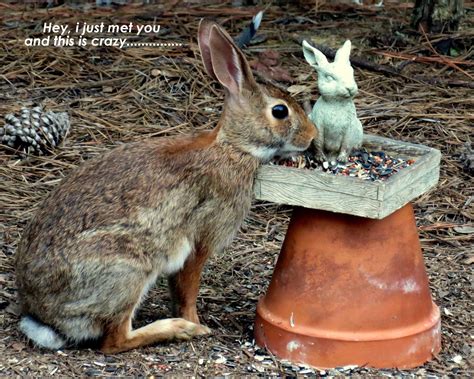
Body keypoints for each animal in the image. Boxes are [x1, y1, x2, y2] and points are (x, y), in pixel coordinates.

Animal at [14, 20, 316, 354]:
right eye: (280, 111)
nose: (312, 137)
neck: (233, 147)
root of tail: (44, 317)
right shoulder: (200, 240)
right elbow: (188, 288)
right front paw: (197, 324)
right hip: (129, 269)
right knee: (114, 340)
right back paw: (177, 329)